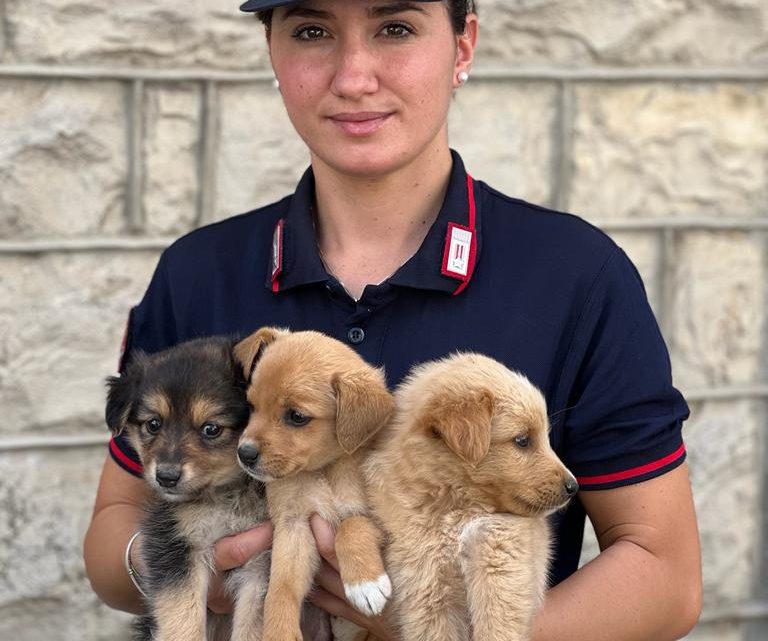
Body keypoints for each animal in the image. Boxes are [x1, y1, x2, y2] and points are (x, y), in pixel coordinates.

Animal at [104, 336, 272, 640]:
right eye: (153, 424)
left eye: (211, 429)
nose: (166, 477)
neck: (228, 495)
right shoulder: (175, 545)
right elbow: (182, 615)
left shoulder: (264, 563)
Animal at [232, 328, 396, 640]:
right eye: (252, 406)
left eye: (297, 416)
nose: (244, 454)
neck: (324, 471)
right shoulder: (293, 526)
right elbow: (280, 589)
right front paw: (278, 632)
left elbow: (351, 526)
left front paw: (365, 583)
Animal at [364, 352, 576, 636]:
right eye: (522, 440)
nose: (573, 487)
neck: (457, 511)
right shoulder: (426, 586)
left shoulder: (503, 559)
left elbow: (497, 624)